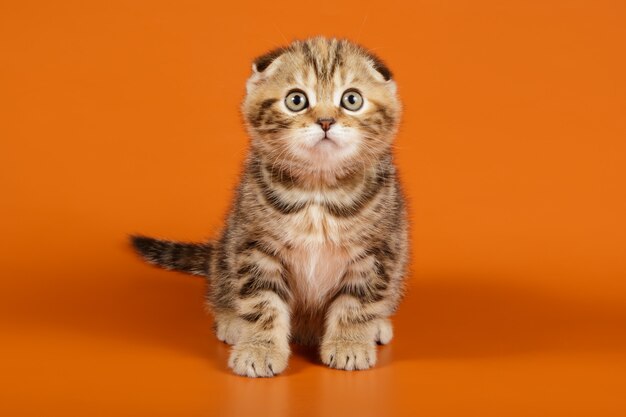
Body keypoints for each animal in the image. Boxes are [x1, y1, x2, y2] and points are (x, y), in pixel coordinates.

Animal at [129, 38, 408, 376]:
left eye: (351, 99)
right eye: (296, 100)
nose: (326, 121)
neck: (317, 190)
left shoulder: (378, 250)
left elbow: (357, 301)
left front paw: (349, 344)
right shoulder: (255, 245)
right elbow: (262, 302)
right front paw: (259, 350)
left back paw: (377, 324)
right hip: (227, 245)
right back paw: (231, 320)